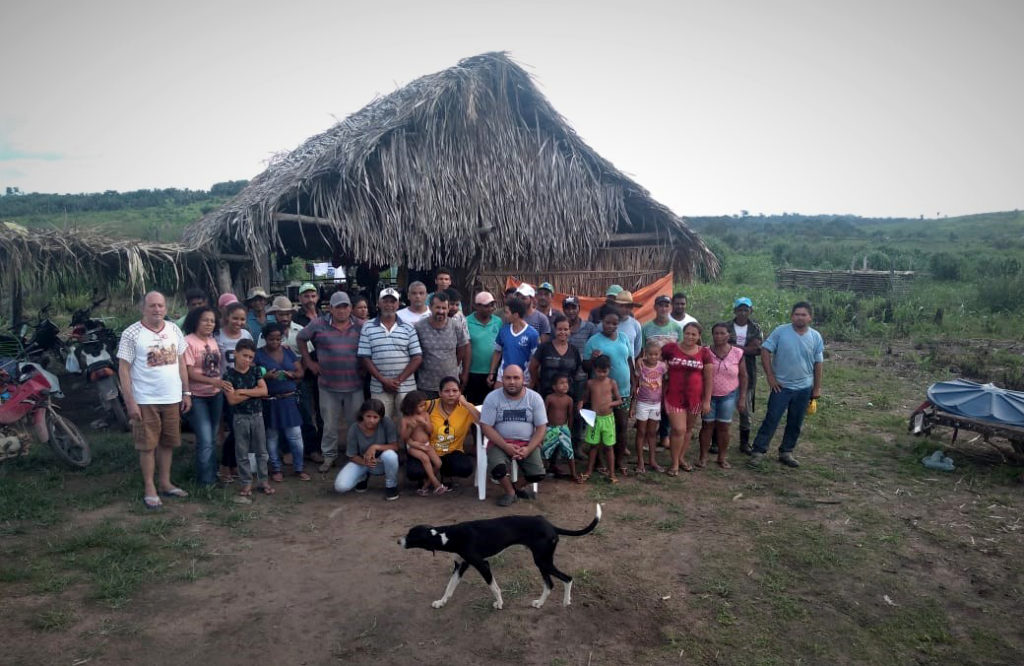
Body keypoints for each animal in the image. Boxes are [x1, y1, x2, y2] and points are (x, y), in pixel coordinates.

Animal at [397, 504, 598, 606]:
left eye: (411, 536)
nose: (398, 541)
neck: (449, 536)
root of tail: (550, 525)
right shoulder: (460, 566)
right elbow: (449, 587)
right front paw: (441, 602)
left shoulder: (482, 564)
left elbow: (494, 587)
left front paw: (499, 603)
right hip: (542, 562)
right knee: (550, 584)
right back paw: (539, 603)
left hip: (542, 561)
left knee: (567, 578)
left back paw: (566, 601)